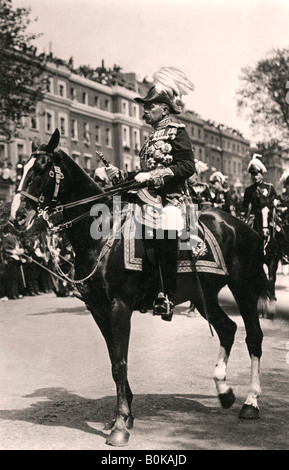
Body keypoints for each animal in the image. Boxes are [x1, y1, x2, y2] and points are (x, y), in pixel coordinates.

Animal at [10, 130, 268, 446]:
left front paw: (121, 425)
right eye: (23, 168)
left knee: (253, 336)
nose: (16, 217)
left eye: (42, 168)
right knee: (228, 329)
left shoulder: (119, 306)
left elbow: (120, 363)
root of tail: (242, 226)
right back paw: (224, 391)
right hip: (203, 295)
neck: (101, 233)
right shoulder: (98, 310)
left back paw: (251, 402)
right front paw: (125, 415)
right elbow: (114, 360)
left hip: (244, 286)